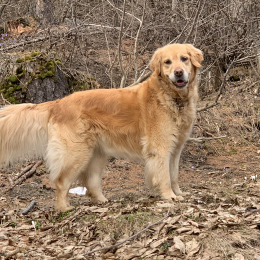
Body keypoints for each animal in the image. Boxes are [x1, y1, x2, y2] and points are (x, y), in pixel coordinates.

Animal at [0, 44, 203, 211]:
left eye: (184, 58)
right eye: (167, 62)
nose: (178, 72)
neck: (172, 98)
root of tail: (58, 103)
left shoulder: (175, 149)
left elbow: (174, 174)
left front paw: (179, 193)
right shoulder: (160, 148)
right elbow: (165, 176)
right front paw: (169, 196)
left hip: (96, 155)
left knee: (91, 183)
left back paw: (103, 201)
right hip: (76, 153)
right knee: (61, 181)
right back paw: (64, 208)